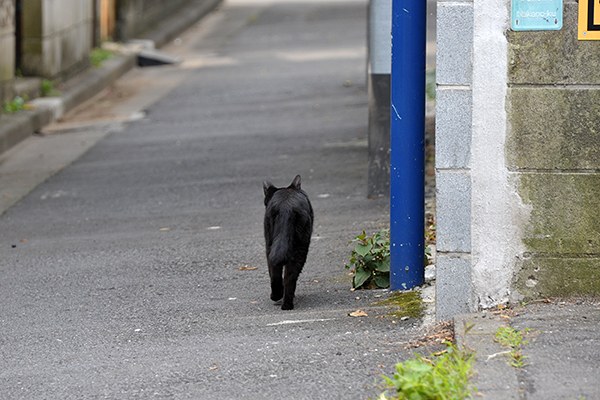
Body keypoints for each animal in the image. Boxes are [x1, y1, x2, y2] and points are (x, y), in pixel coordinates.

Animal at [264, 174, 316, 310]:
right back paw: (285, 302)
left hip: (276, 244)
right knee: (287, 274)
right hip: (299, 246)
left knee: (280, 273)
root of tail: (286, 207)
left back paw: (280, 299)